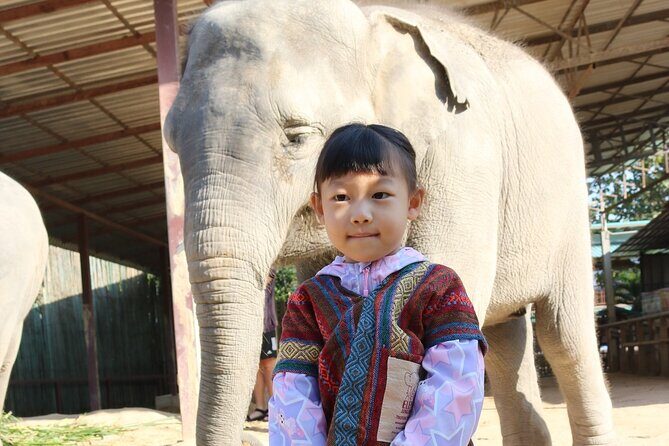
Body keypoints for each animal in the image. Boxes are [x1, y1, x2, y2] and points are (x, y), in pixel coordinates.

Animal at [164, 1, 616, 444]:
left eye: (298, 137)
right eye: (171, 142)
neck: (368, 21)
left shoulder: (464, 160)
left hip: (568, 211)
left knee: (564, 339)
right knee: (506, 338)